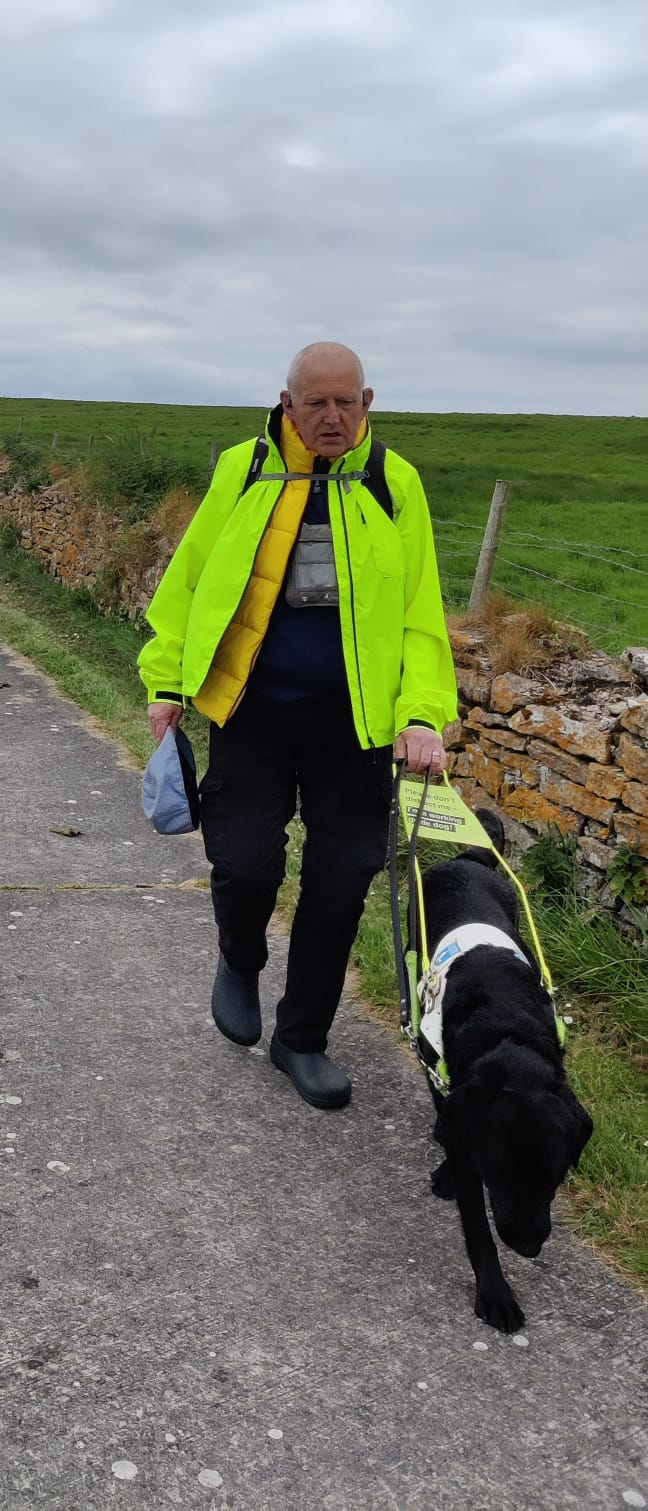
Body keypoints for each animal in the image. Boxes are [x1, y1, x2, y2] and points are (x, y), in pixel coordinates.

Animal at [419, 815, 592, 1335]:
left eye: (557, 1176)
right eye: (498, 1174)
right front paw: (495, 1294)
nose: (530, 1246)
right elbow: (478, 1228)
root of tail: (469, 858)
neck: (508, 1030)